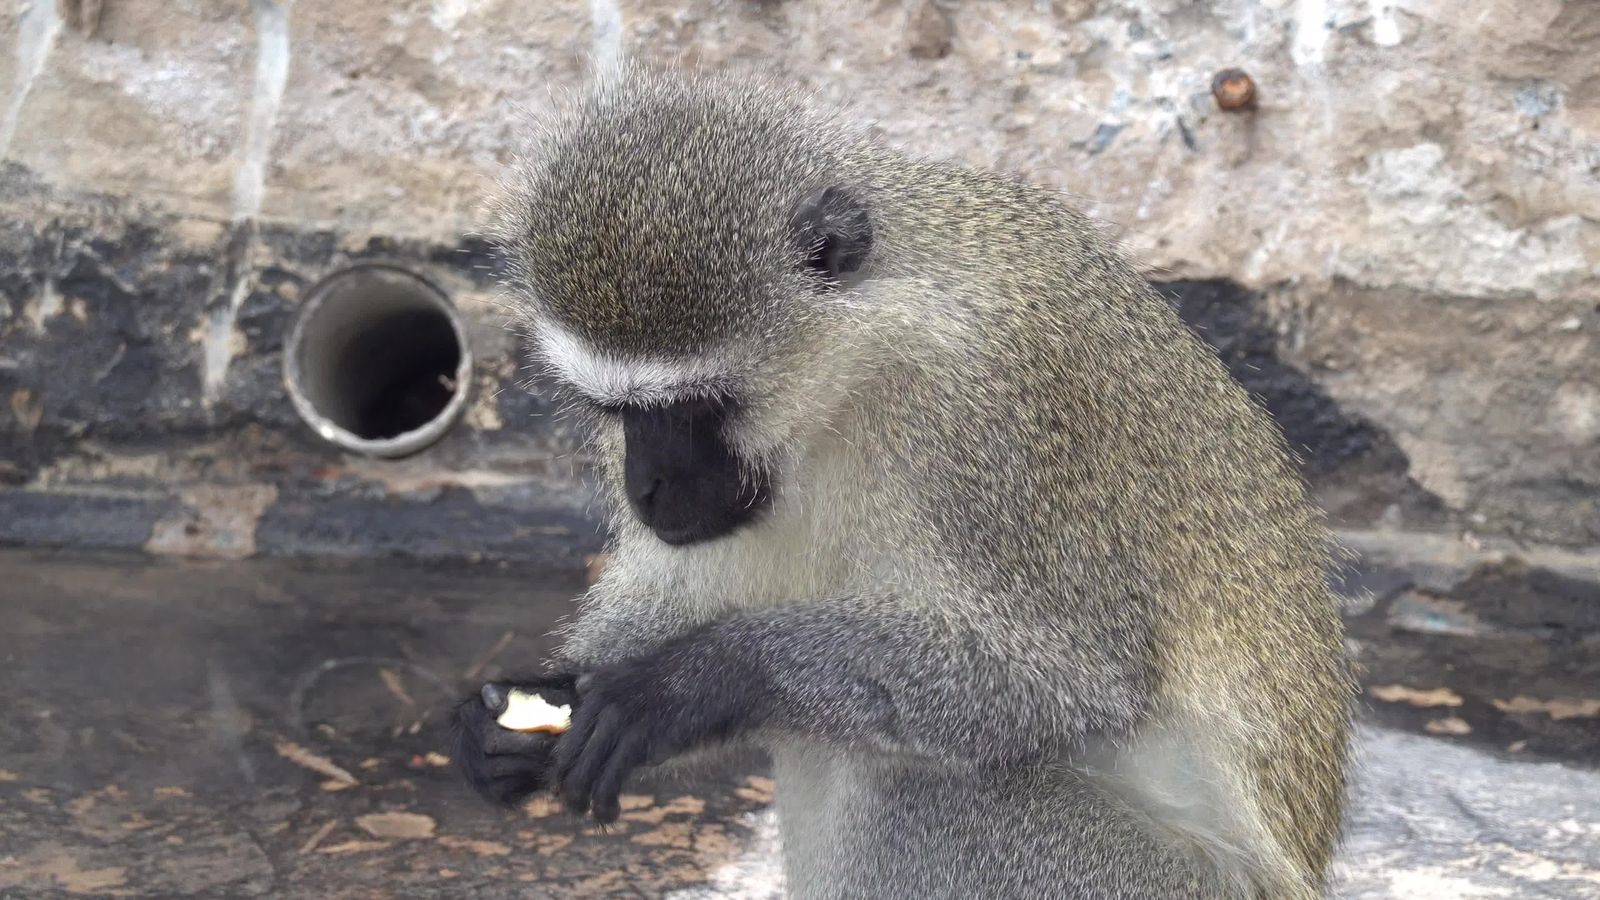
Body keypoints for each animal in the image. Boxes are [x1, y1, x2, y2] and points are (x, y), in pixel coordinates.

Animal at [453, 64, 1353, 899]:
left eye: (701, 408)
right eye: (616, 411)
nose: (647, 488)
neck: (858, 365)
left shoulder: (987, 404)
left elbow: (1070, 681)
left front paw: (692, 682)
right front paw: (527, 708)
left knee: (904, 776)